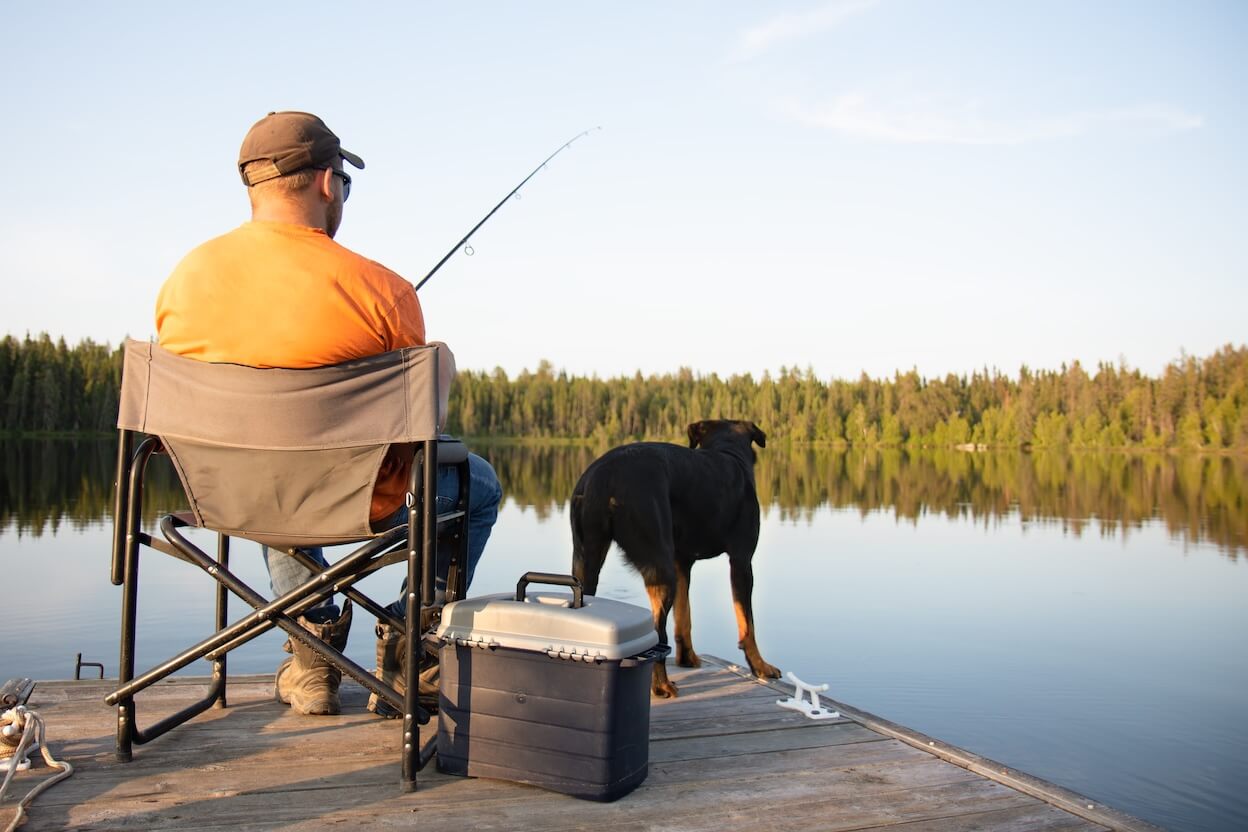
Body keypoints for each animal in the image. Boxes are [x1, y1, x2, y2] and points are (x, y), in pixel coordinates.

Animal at [571, 419, 778, 698]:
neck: (729, 452)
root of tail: (604, 476)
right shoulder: (742, 560)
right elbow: (747, 623)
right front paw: (760, 666)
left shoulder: (682, 563)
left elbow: (684, 618)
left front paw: (687, 658)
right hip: (659, 567)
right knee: (657, 634)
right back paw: (660, 685)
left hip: (586, 562)